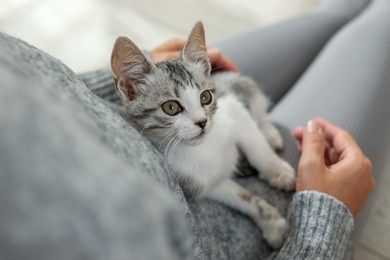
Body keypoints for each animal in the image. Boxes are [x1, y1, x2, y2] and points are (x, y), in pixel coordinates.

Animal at [111, 21, 294, 248]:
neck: (204, 148)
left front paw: (277, 171)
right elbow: (241, 196)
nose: (202, 122)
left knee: (258, 109)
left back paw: (270, 133)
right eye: (171, 107)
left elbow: (257, 147)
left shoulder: (232, 107)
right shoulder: (199, 181)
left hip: (237, 84)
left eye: (205, 97)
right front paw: (270, 221)